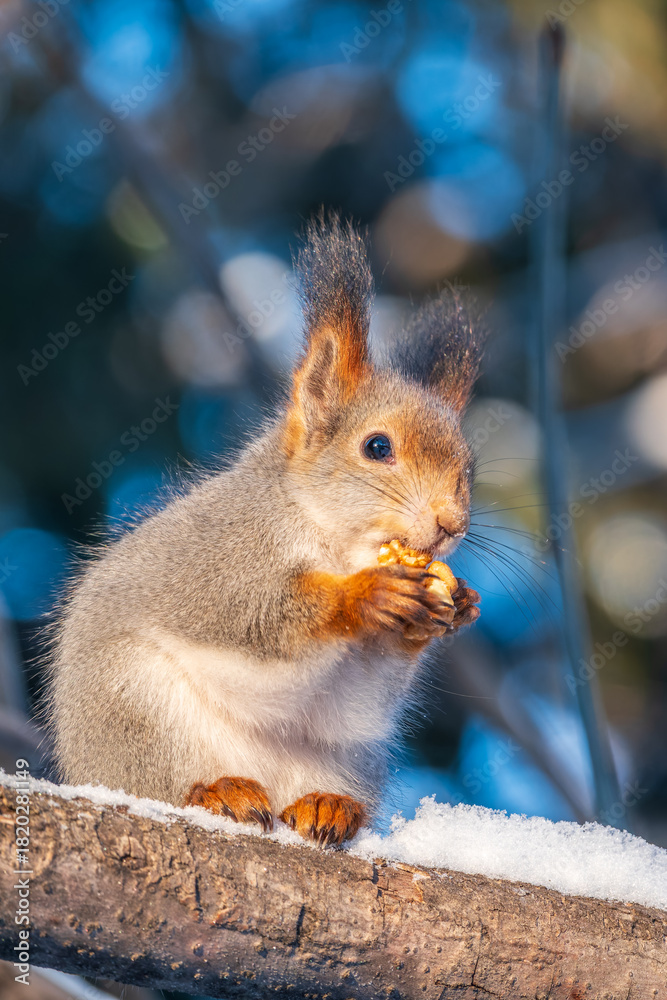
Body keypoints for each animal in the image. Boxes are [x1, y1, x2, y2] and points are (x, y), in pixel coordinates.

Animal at [46, 214, 484, 847]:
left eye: (469, 470)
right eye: (377, 447)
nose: (452, 524)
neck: (337, 541)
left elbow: (365, 692)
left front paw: (451, 607)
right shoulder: (223, 563)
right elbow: (257, 617)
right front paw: (365, 597)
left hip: (346, 755)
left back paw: (329, 804)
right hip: (137, 711)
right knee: (169, 781)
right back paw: (216, 791)